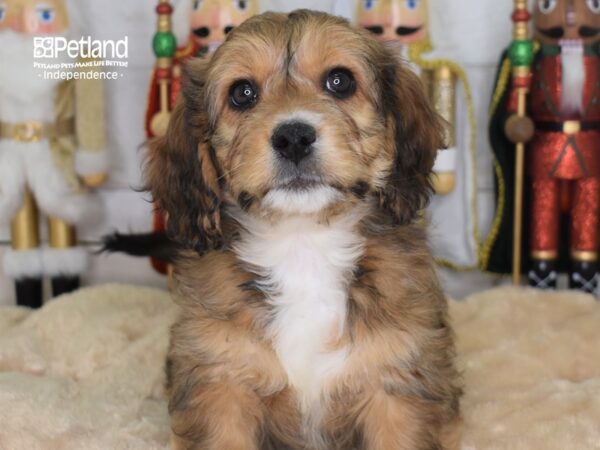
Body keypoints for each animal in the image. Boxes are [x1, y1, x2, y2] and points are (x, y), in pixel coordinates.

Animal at [148, 9, 462, 450]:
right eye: (242, 93)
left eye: (340, 81)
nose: (293, 137)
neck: (304, 244)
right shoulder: (221, 385)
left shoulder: (396, 386)